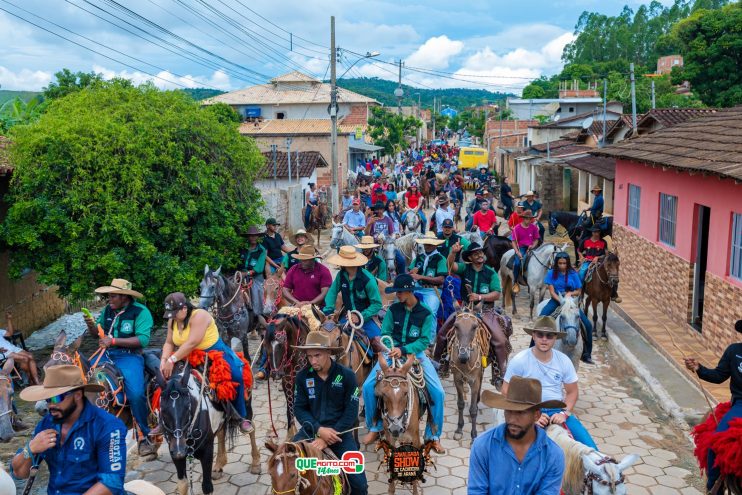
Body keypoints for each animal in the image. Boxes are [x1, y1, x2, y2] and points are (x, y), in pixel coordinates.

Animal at [448, 308, 488, 444]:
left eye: (474, 327)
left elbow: (473, 410)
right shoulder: (457, 380)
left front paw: (474, 435)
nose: (463, 356)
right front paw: (459, 430)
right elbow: (460, 404)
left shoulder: (475, 382)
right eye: (456, 326)